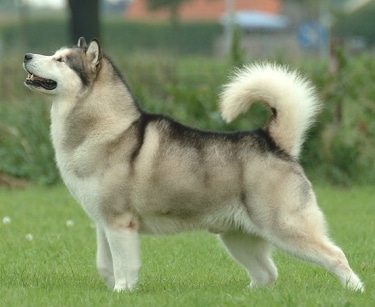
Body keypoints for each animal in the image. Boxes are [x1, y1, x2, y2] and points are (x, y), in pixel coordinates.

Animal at [22, 37, 364, 292]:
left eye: (60, 60)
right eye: (53, 54)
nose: (26, 55)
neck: (106, 128)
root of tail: (272, 141)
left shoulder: (120, 222)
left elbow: (122, 264)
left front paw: (122, 291)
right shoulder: (103, 222)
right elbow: (105, 264)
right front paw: (116, 289)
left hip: (285, 226)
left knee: (336, 255)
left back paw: (354, 290)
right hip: (238, 236)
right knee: (268, 274)